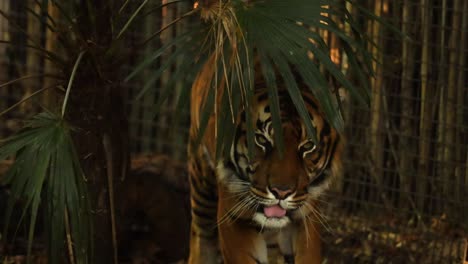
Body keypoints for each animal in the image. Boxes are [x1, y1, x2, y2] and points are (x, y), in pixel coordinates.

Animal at [186, 57, 344, 262]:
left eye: (308, 146)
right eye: (261, 140)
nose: (281, 192)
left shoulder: (307, 216)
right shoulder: (234, 216)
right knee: (201, 235)